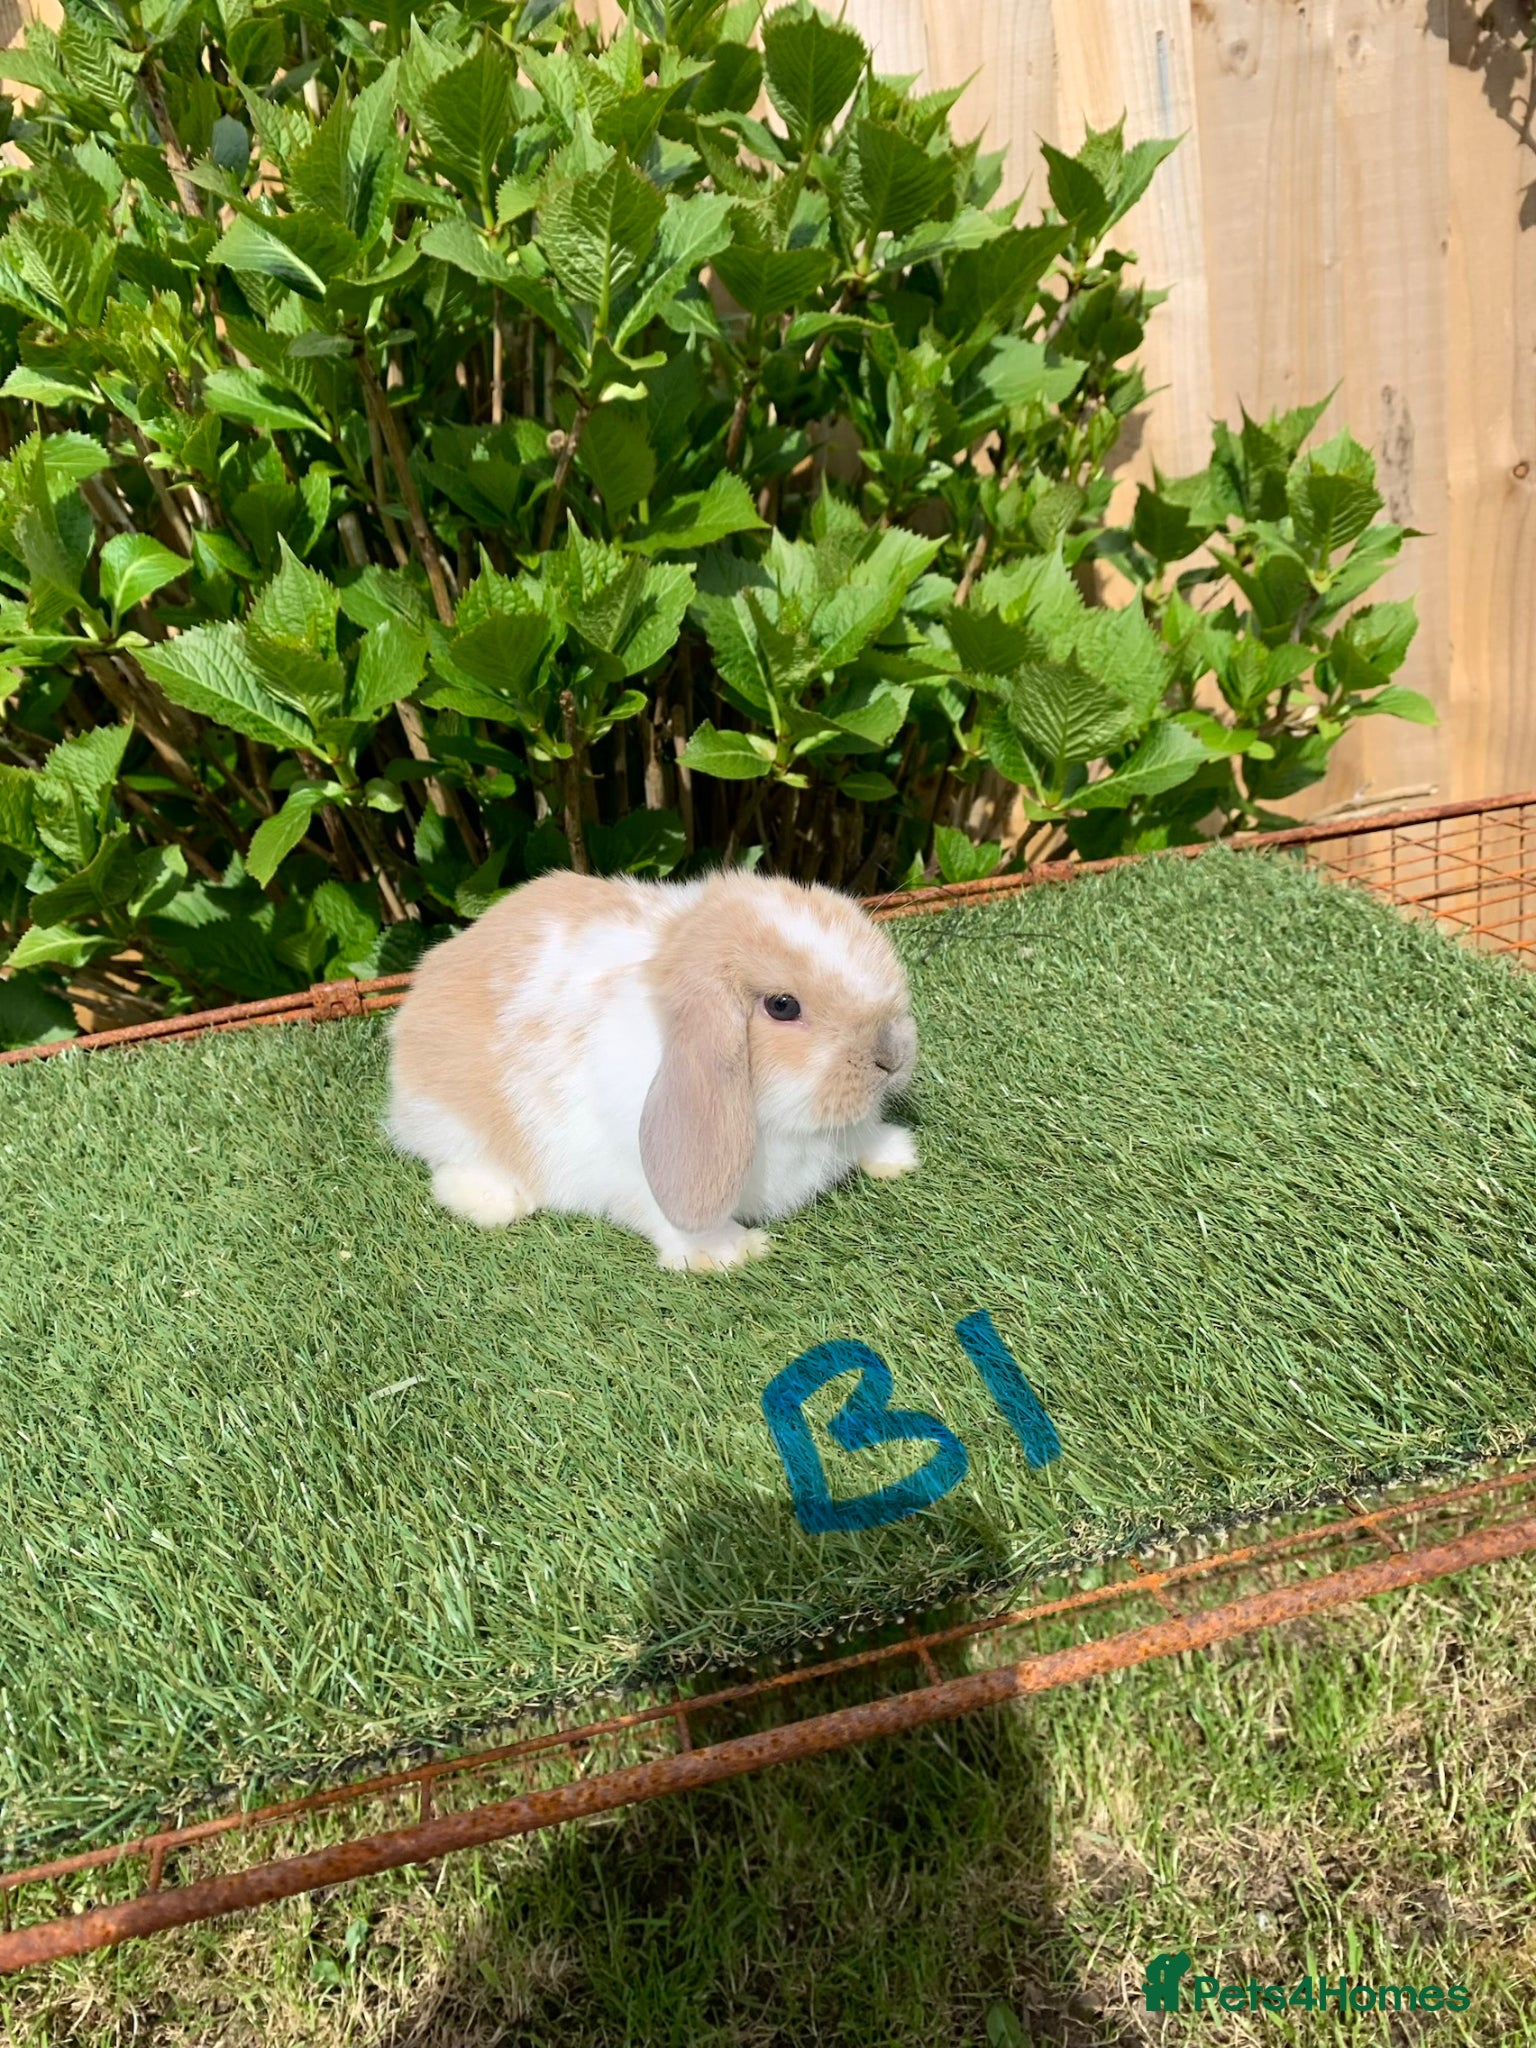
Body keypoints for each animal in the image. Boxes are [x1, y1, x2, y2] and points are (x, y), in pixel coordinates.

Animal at [384, 867, 920, 1271]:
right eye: (782, 1006)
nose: (892, 1056)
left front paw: (897, 1154)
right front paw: (733, 1251)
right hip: (451, 1124)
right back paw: (496, 1201)